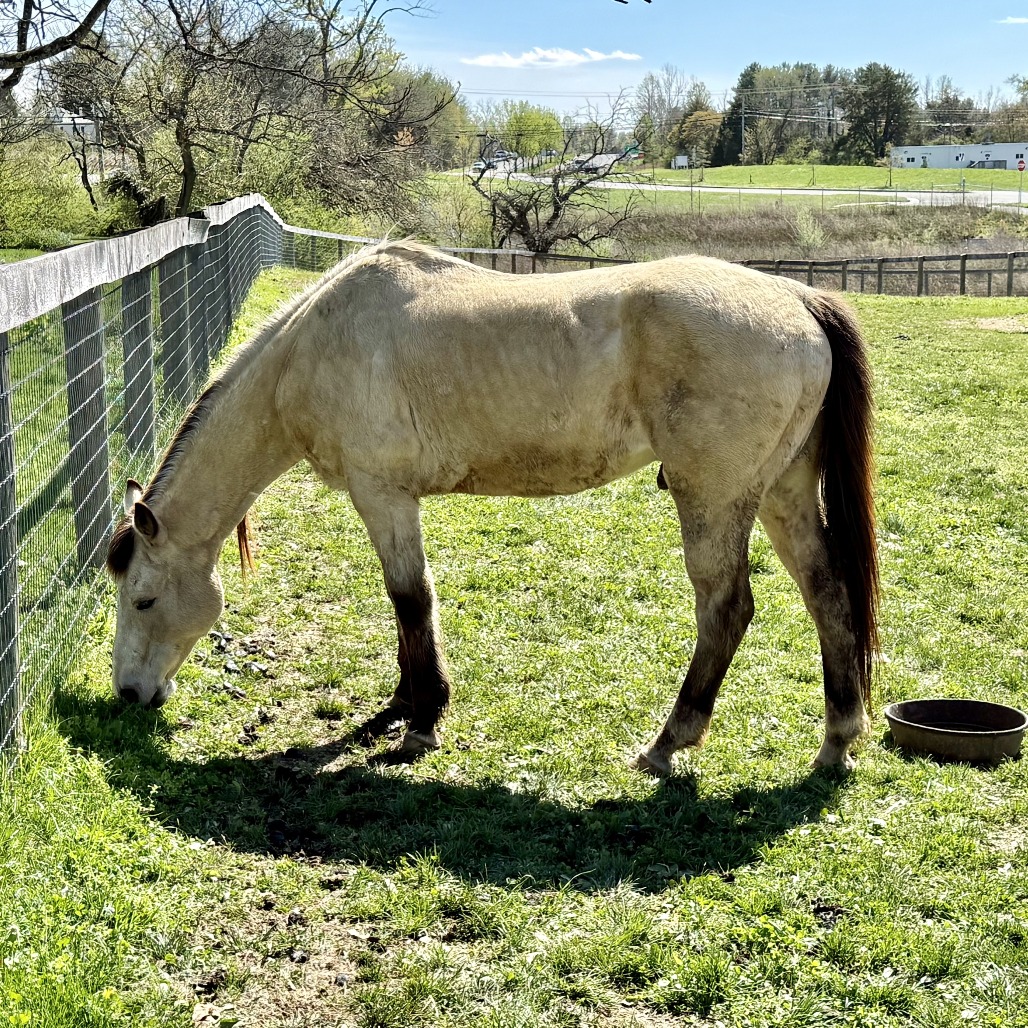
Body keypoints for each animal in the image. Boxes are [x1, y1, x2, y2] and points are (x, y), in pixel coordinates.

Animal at [106, 240, 878, 774]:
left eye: (143, 599)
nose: (129, 695)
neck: (314, 349)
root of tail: (796, 300)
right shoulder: (390, 500)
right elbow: (407, 602)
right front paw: (402, 704)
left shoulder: (381, 494)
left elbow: (409, 598)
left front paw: (421, 722)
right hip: (780, 493)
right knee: (826, 591)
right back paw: (837, 739)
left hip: (712, 499)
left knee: (726, 609)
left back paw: (667, 743)